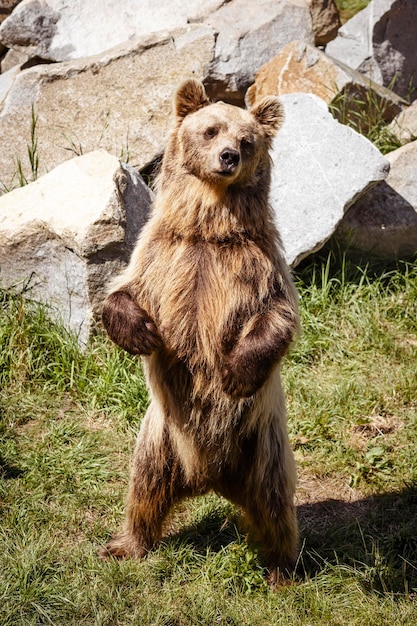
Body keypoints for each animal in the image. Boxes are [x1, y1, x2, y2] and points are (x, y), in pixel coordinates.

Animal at [102, 79, 300, 584]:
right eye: (210, 130)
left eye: (247, 140)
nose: (228, 156)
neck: (210, 228)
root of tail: (210, 478)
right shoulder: (161, 255)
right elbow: (120, 293)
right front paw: (145, 334)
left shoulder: (259, 262)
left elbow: (277, 317)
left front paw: (233, 374)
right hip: (160, 439)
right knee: (143, 490)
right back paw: (125, 544)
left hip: (262, 444)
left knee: (275, 504)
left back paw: (281, 567)